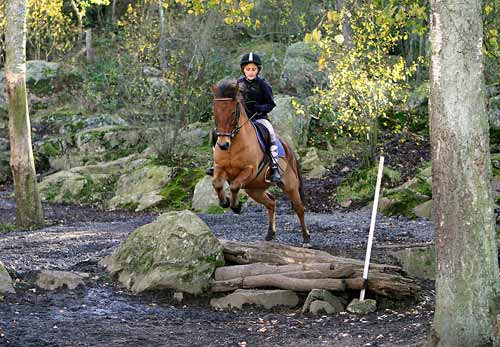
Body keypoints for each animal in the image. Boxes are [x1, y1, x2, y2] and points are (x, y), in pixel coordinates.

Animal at [209, 79, 310, 247]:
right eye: (215, 112)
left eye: (233, 112)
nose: (223, 145)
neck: (233, 144)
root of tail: (288, 147)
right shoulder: (220, 168)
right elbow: (217, 183)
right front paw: (225, 202)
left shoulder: (249, 169)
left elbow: (234, 186)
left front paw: (235, 206)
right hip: (254, 189)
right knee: (271, 203)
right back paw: (270, 234)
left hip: (290, 185)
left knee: (299, 208)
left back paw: (306, 238)